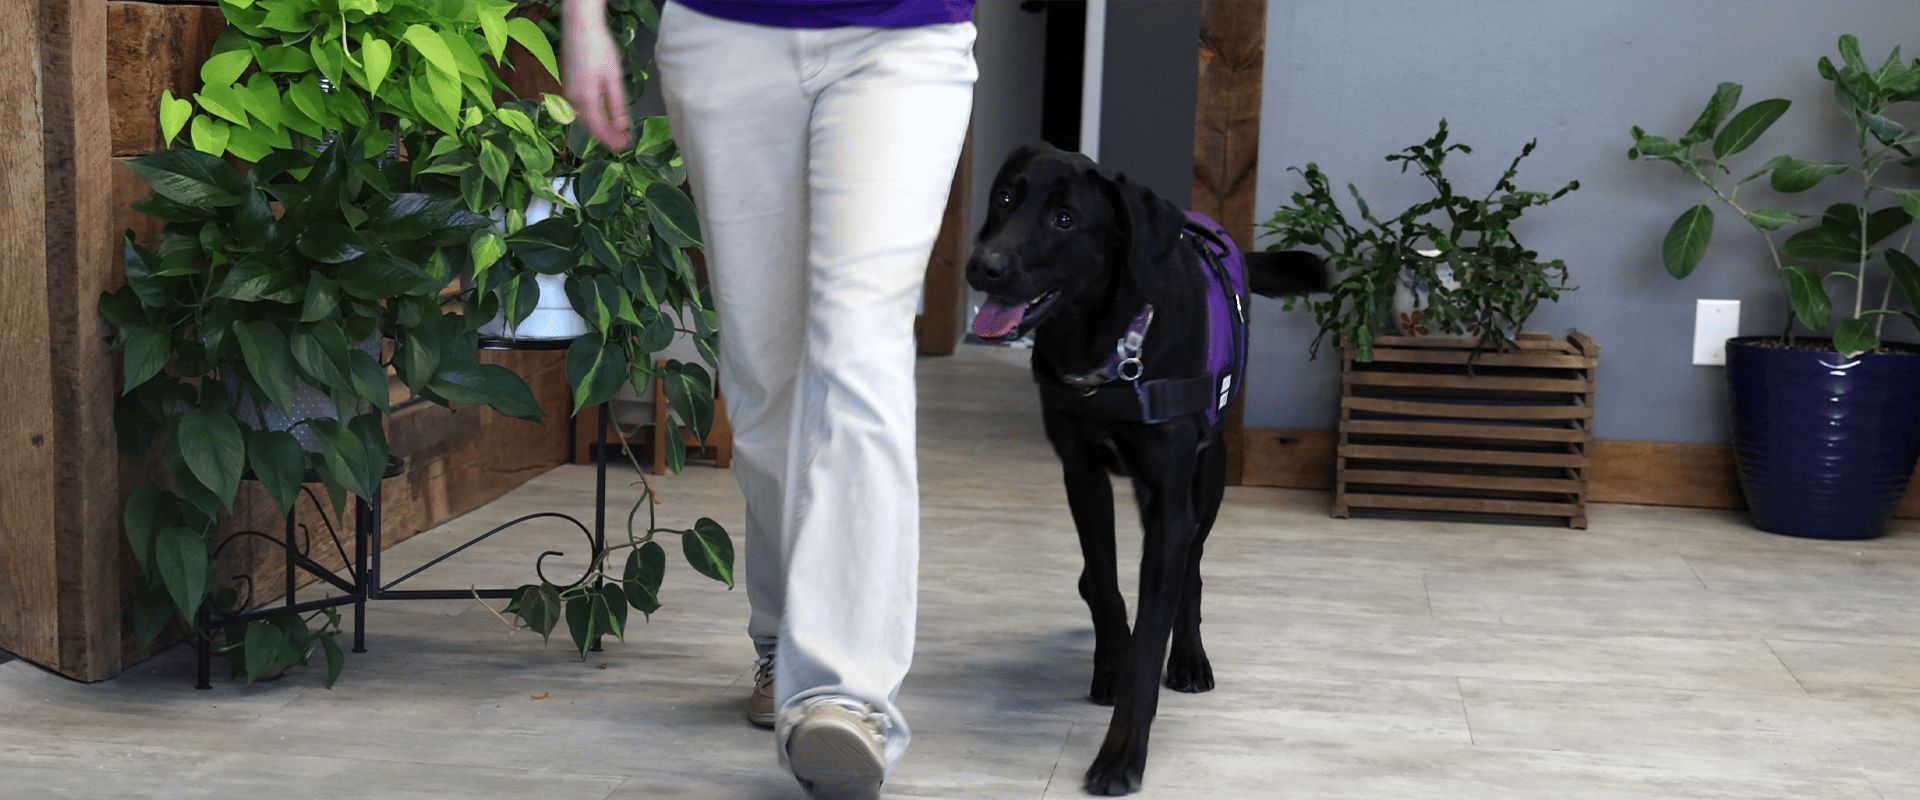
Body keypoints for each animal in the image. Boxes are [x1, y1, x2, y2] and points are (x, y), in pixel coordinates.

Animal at [967, 143, 1328, 790]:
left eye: (1064, 219)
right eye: (1005, 197)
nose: (983, 267)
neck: (1107, 343)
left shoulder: (1170, 502)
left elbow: (1155, 624)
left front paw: (1122, 753)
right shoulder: (1082, 475)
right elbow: (1108, 586)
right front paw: (1110, 664)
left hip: (1208, 478)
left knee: (1193, 572)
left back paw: (1189, 657)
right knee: (1108, 580)